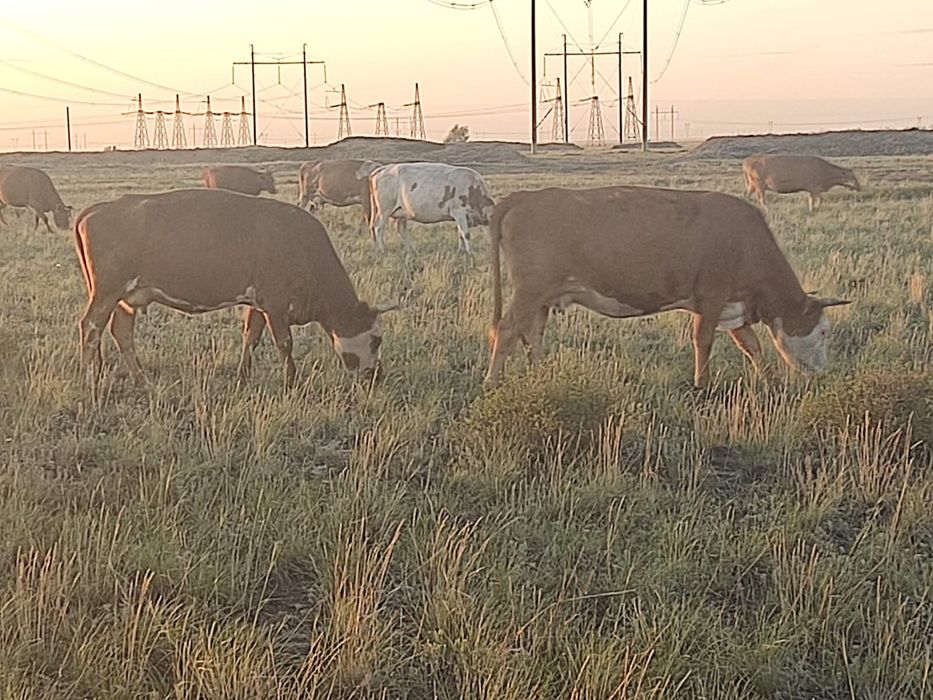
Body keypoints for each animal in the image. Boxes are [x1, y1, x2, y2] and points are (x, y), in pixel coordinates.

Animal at [72, 189, 396, 394]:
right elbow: (284, 344)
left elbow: (250, 338)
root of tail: (99, 208)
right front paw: (291, 382)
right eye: (376, 339)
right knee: (90, 328)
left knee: (121, 333)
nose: (378, 376)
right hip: (106, 293)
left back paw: (142, 382)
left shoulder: (258, 303)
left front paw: (243, 377)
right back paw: (89, 387)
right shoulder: (275, 305)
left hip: (126, 298)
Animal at [484, 186, 850, 389]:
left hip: (542, 297)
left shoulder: (733, 306)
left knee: (531, 334)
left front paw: (770, 379)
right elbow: (703, 341)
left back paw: (540, 375)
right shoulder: (711, 297)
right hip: (530, 291)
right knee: (507, 330)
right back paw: (491, 382)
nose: (822, 371)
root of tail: (522, 198)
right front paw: (702, 384)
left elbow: (752, 346)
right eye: (823, 332)